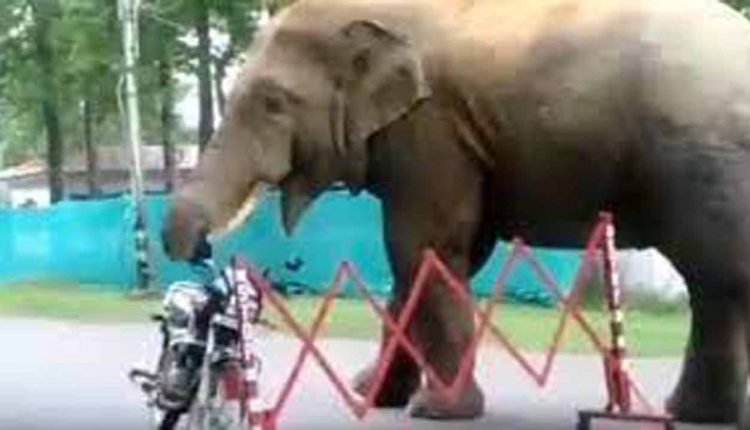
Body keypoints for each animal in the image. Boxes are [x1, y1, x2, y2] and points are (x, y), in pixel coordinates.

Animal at [162, 0, 750, 425]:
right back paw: (698, 415)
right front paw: (371, 395)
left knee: (714, 280)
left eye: (273, 103)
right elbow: (423, 259)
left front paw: (436, 413)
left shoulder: (432, 129)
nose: (198, 249)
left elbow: (425, 245)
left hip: (699, 158)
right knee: (718, 285)